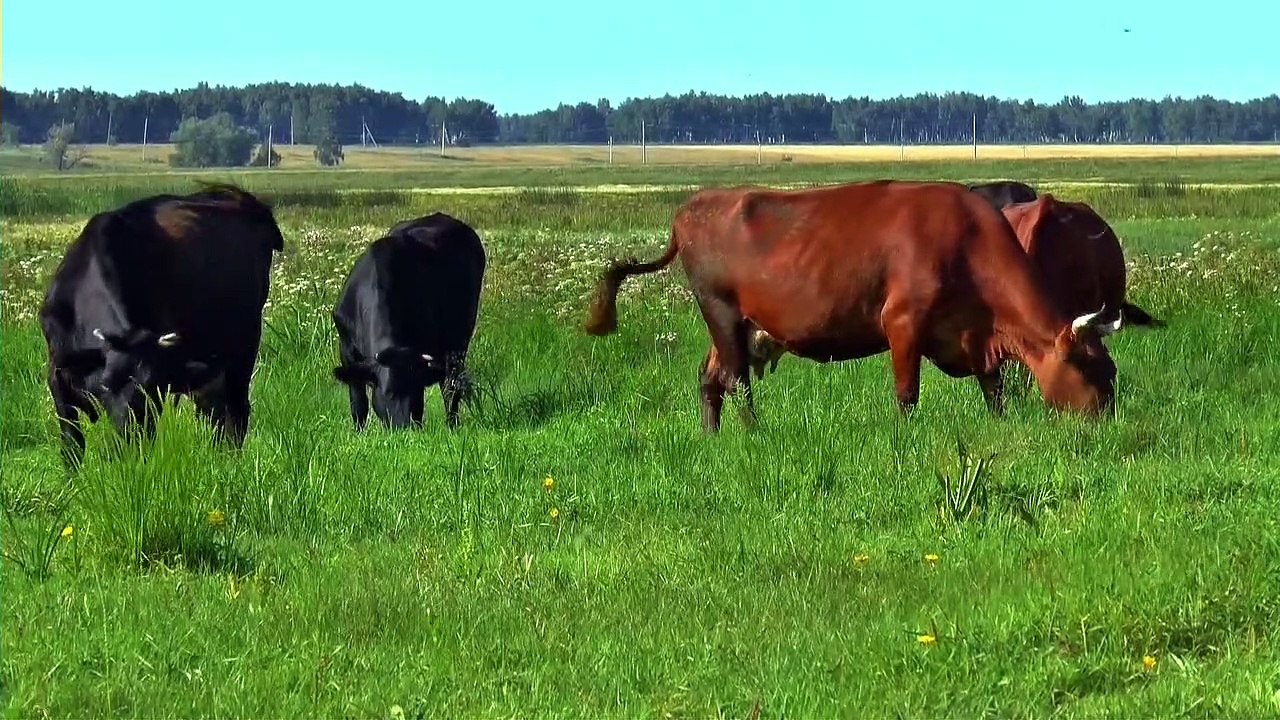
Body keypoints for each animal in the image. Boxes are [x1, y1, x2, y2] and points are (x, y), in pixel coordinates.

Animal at [39, 183, 285, 469]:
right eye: (106, 384)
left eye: (152, 389)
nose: (129, 437)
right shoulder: (57, 374)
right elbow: (72, 445)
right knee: (213, 412)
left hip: (243, 349)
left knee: (235, 414)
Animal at [331, 212, 486, 431]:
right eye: (388, 393)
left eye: (416, 391)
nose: (404, 427)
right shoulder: (346, 350)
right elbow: (358, 403)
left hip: (459, 341)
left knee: (451, 386)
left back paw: (452, 425)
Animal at [583, 180, 1121, 432]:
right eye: (1089, 369)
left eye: (1111, 370)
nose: (1106, 427)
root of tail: (691, 208)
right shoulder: (903, 323)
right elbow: (907, 395)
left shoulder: (976, 335)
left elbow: (995, 391)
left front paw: (1001, 427)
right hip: (721, 311)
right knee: (735, 381)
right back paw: (755, 435)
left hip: (738, 324)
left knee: (710, 378)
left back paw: (712, 439)